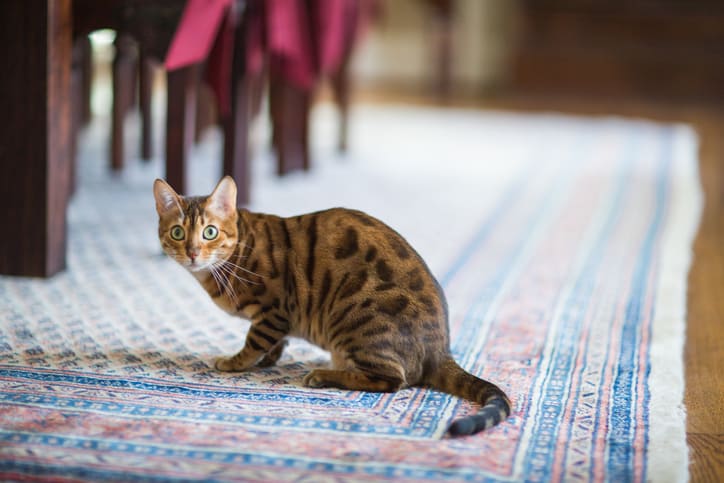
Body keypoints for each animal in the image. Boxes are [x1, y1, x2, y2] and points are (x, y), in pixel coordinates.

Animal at [156, 176, 512, 436]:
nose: (192, 252)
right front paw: (269, 358)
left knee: (392, 380)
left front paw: (235, 362)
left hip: (353, 320)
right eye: (177, 232)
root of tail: (440, 349)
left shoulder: (274, 309)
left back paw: (323, 375)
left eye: (210, 232)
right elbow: (274, 343)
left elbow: (253, 342)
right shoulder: (277, 322)